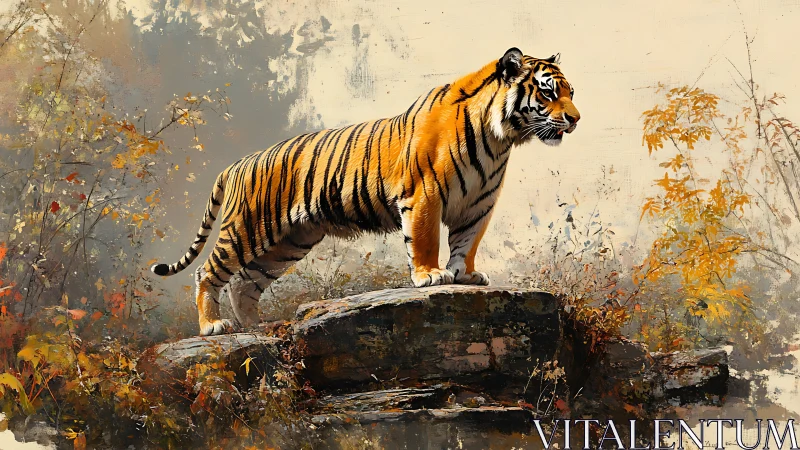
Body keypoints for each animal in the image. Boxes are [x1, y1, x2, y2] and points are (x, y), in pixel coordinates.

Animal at [150, 47, 580, 336]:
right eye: (547, 93)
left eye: (571, 92)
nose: (576, 119)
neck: (500, 138)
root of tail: (237, 163)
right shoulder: (425, 195)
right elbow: (425, 240)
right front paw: (431, 276)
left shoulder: (478, 205)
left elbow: (466, 243)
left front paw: (466, 275)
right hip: (248, 227)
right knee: (208, 271)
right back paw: (214, 326)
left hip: (288, 242)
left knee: (244, 283)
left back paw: (257, 327)